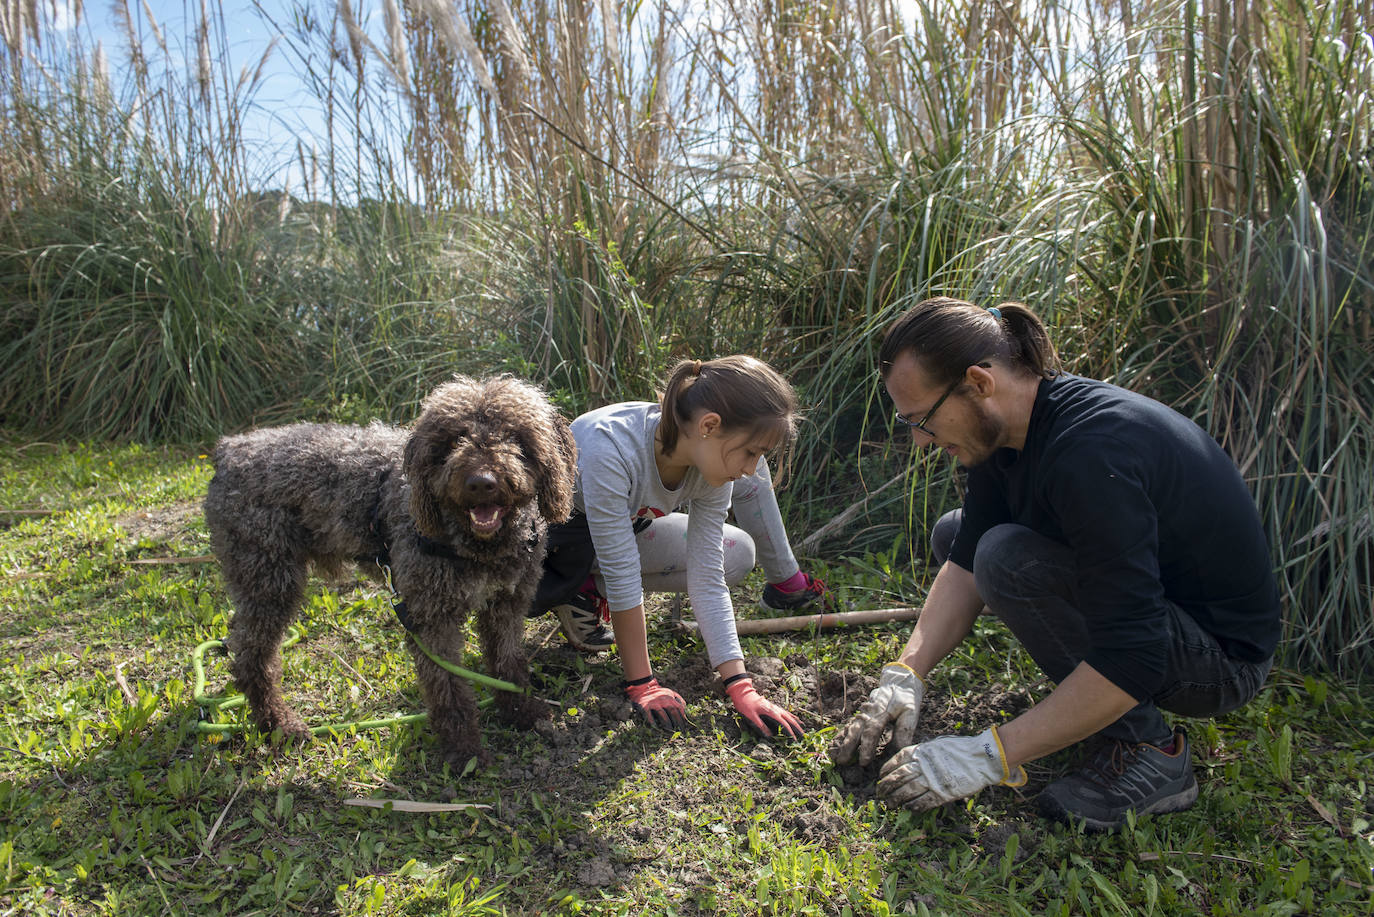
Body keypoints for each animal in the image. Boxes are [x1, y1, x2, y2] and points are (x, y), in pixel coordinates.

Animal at [203, 373, 574, 769]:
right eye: (453, 439)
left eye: (514, 436)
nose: (481, 482)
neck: (477, 546)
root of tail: (229, 449)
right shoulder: (431, 621)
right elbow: (449, 690)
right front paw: (464, 752)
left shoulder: (505, 607)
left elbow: (508, 664)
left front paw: (520, 710)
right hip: (269, 580)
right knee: (251, 658)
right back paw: (280, 725)